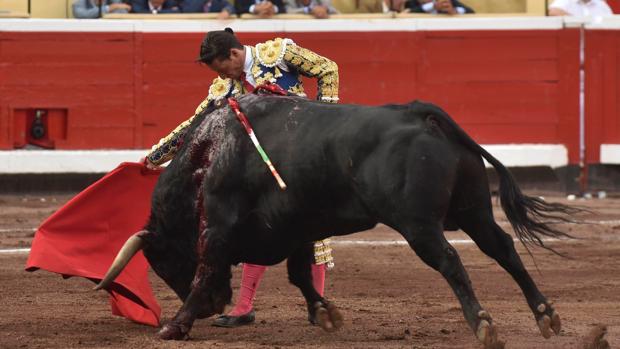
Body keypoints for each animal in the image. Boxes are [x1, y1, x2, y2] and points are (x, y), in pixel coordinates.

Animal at [98, 94, 576, 346]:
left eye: (162, 263)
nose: (218, 306)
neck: (210, 155)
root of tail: (420, 114)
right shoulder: (296, 228)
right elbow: (299, 274)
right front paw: (325, 313)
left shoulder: (218, 226)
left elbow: (206, 269)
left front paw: (175, 325)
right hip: (473, 210)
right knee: (504, 250)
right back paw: (546, 315)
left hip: (418, 224)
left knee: (450, 261)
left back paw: (483, 323)